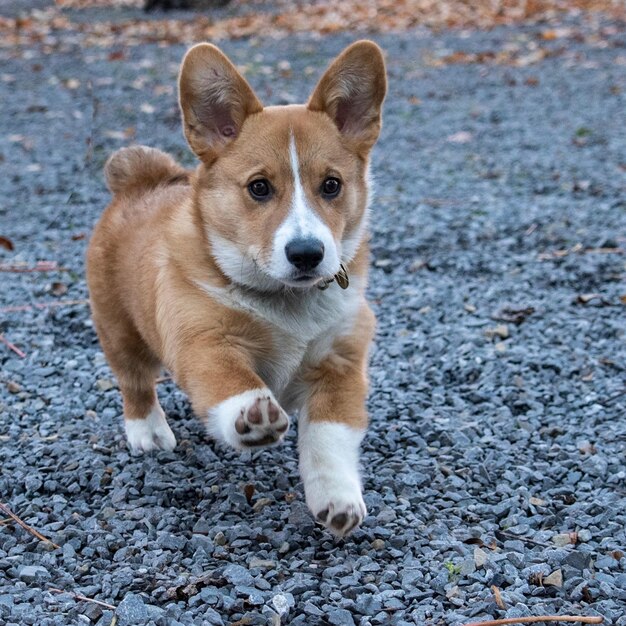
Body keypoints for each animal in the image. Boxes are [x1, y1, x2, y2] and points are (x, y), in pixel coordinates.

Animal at [85, 40, 382, 536]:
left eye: (332, 185)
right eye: (259, 188)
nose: (307, 253)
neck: (286, 301)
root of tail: (140, 181)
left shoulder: (340, 366)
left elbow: (329, 439)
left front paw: (337, 499)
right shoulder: (203, 341)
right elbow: (230, 380)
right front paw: (250, 414)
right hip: (119, 330)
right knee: (134, 382)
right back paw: (147, 432)